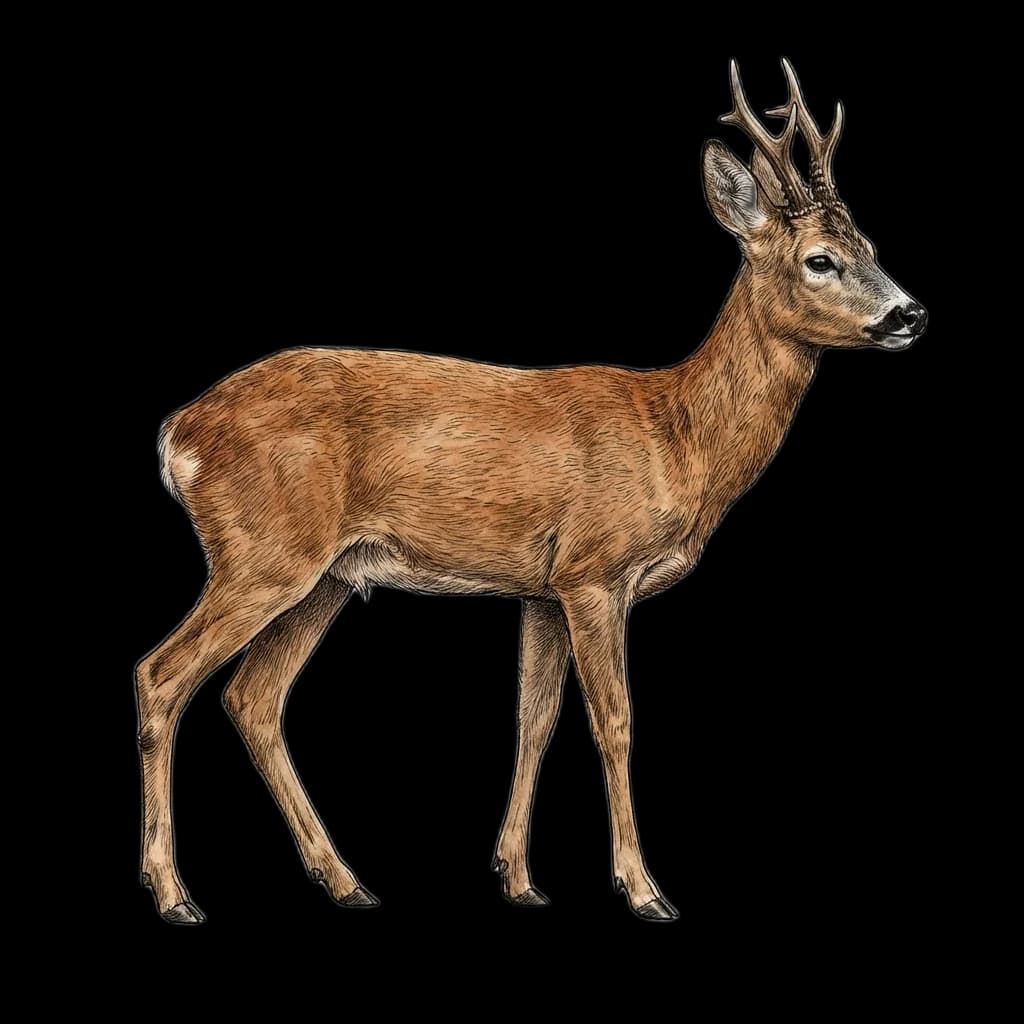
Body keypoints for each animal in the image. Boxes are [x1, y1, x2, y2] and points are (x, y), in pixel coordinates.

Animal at [136, 58, 927, 924]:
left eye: (871, 245)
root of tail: (177, 433)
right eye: (821, 259)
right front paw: (644, 889)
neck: (677, 436)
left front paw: (518, 877)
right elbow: (615, 720)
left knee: (252, 698)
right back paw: (174, 893)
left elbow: (534, 720)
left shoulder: (540, 590)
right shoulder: (594, 573)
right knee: (162, 675)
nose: (910, 313)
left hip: (328, 577)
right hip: (263, 555)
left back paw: (346, 881)